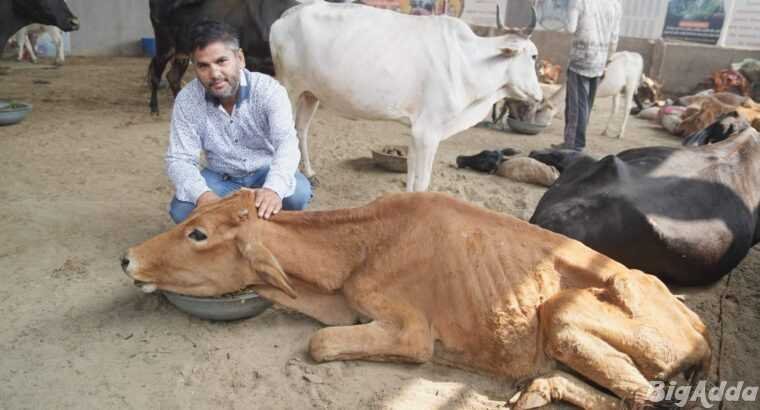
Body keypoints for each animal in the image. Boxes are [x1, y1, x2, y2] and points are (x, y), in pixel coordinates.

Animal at [121, 190, 711, 409]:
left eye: (199, 235)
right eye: (195, 216)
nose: (127, 258)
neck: (362, 245)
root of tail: (700, 329)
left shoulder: (410, 332)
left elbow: (319, 344)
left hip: (562, 315)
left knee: (644, 399)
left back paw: (539, 387)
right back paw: (536, 387)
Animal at [147, 0, 299, 115]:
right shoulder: (252, 61)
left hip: (182, 53)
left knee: (172, 76)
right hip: (165, 45)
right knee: (156, 71)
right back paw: (154, 108)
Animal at [270, 1, 543, 191]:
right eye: (533, 56)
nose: (539, 96)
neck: (469, 62)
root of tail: (287, 15)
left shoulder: (416, 129)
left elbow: (411, 174)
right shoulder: (428, 131)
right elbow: (422, 182)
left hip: (310, 93)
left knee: (301, 129)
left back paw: (309, 173)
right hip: (289, 88)